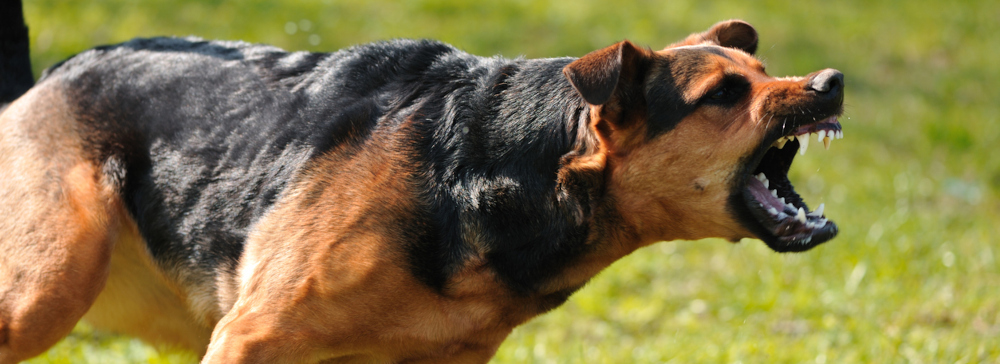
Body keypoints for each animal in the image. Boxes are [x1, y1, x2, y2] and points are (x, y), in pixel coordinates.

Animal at [0, 1, 844, 362]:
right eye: (725, 95)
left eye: (763, 69)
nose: (831, 82)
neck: (492, 172)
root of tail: (42, 82)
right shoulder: (249, 338)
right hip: (48, 289)